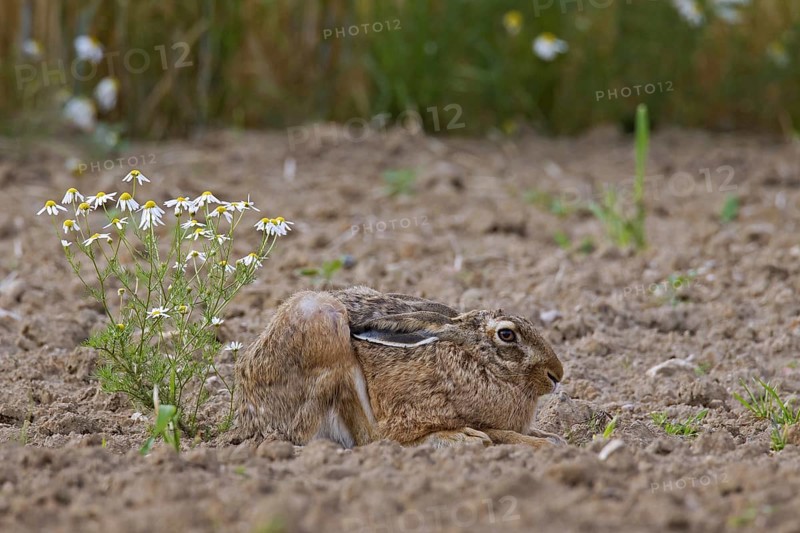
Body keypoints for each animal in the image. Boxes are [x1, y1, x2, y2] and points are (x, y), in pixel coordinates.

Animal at [235, 286, 565, 449]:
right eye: (506, 335)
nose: (557, 375)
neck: (474, 360)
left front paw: (552, 438)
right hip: (323, 323)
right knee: (373, 440)